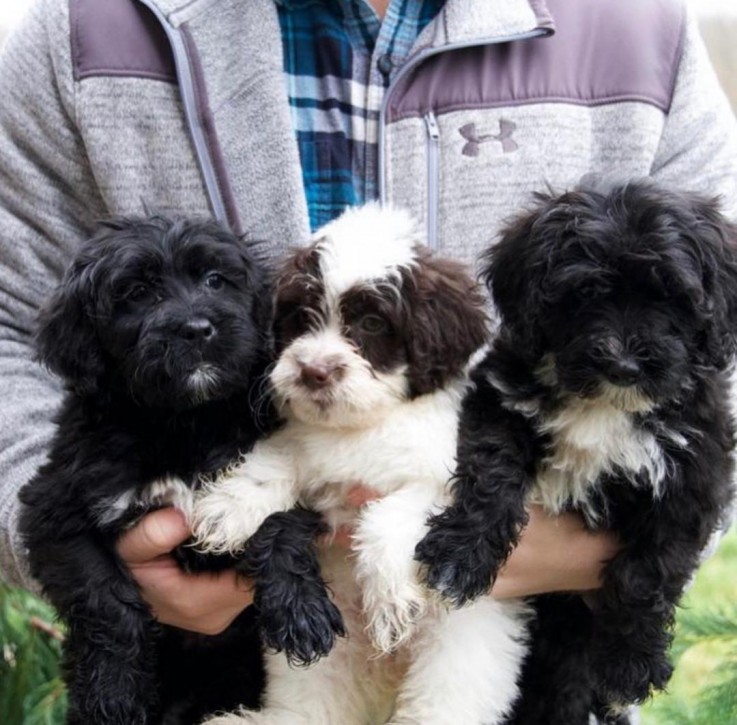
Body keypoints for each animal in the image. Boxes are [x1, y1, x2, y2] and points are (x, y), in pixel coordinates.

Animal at [18, 218, 328, 724]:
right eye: (137, 292)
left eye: (216, 281)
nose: (197, 329)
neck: (184, 422)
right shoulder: (56, 511)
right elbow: (105, 599)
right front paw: (113, 692)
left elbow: (276, 519)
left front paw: (301, 611)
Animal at [193, 204, 528, 724]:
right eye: (301, 316)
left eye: (371, 324)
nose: (313, 371)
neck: (364, 426)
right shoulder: (304, 442)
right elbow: (279, 457)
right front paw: (231, 504)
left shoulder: (443, 475)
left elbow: (388, 517)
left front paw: (389, 598)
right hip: (322, 665)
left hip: (458, 658)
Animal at [416, 180, 736, 720]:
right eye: (586, 293)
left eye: (671, 297)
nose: (624, 365)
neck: (604, 407)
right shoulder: (499, 402)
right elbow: (493, 475)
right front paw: (461, 555)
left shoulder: (693, 472)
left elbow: (650, 569)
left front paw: (631, 663)